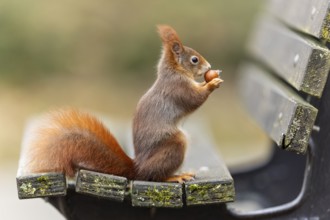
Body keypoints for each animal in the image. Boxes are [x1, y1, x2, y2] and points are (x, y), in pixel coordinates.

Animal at [21, 24, 223, 183]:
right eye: (194, 59)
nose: (209, 66)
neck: (174, 71)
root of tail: (138, 169)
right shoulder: (177, 88)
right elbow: (193, 99)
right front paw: (212, 83)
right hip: (175, 144)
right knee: (155, 176)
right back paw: (175, 176)